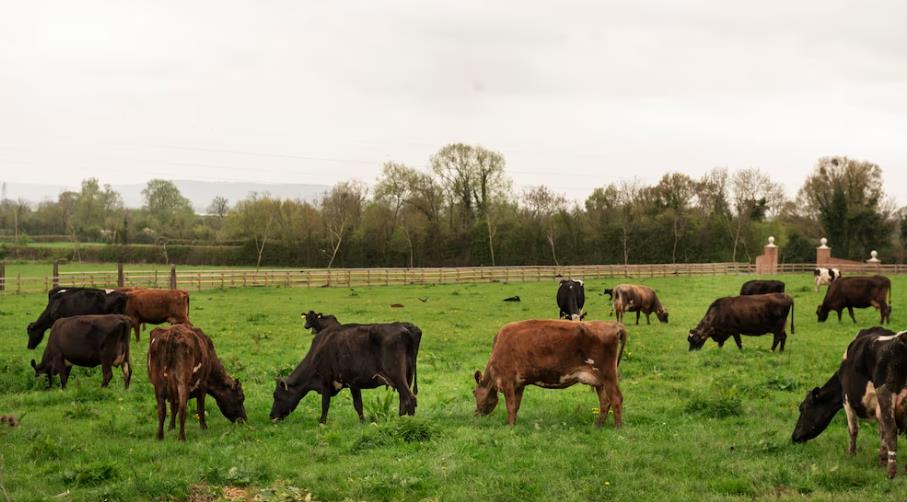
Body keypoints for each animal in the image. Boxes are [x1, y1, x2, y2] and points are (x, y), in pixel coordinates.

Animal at [272, 314, 424, 424]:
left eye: (276, 395)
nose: (271, 416)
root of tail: (405, 326)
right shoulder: (353, 382)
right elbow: (358, 404)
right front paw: (363, 422)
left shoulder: (325, 380)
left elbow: (325, 404)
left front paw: (322, 422)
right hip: (408, 376)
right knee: (404, 400)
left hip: (397, 376)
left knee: (410, 399)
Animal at [472, 320, 628, 426]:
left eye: (474, 392)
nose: (475, 414)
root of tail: (613, 325)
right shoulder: (519, 384)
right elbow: (516, 405)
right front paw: (513, 424)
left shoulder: (507, 380)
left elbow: (510, 405)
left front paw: (509, 426)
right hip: (599, 381)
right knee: (605, 401)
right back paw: (598, 425)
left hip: (608, 375)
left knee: (616, 399)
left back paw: (618, 427)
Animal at [792, 326, 907, 478]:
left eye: (802, 408)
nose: (794, 437)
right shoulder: (878, 410)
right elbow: (881, 433)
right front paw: (882, 460)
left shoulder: (847, 400)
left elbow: (853, 429)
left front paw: (851, 455)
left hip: (885, 393)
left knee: (891, 429)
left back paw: (890, 474)